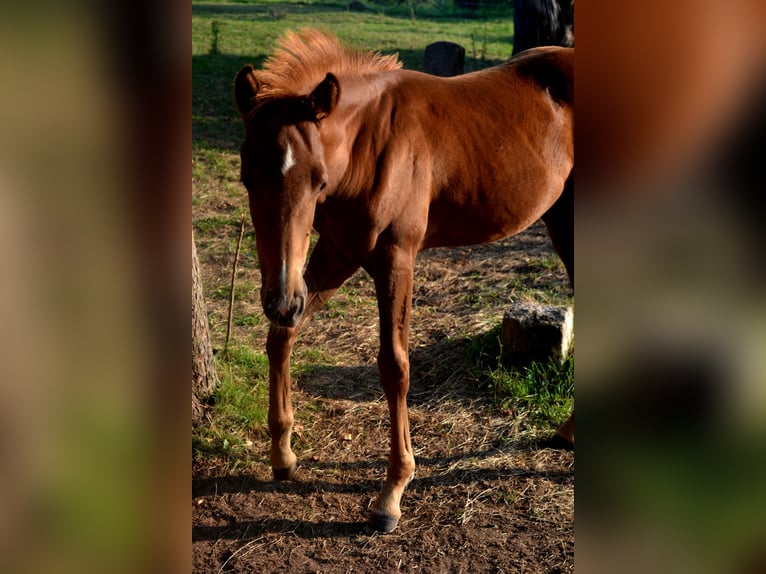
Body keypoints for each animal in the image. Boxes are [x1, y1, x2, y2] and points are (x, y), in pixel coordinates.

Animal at [237, 30, 572, 536]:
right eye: (245, 177)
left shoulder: (397, 260)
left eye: (317, 180)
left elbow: (394, 366)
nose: (281, 298)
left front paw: (391, 493)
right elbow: (281, 338)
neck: (369, 146)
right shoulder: (337, 254)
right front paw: (283, 455)